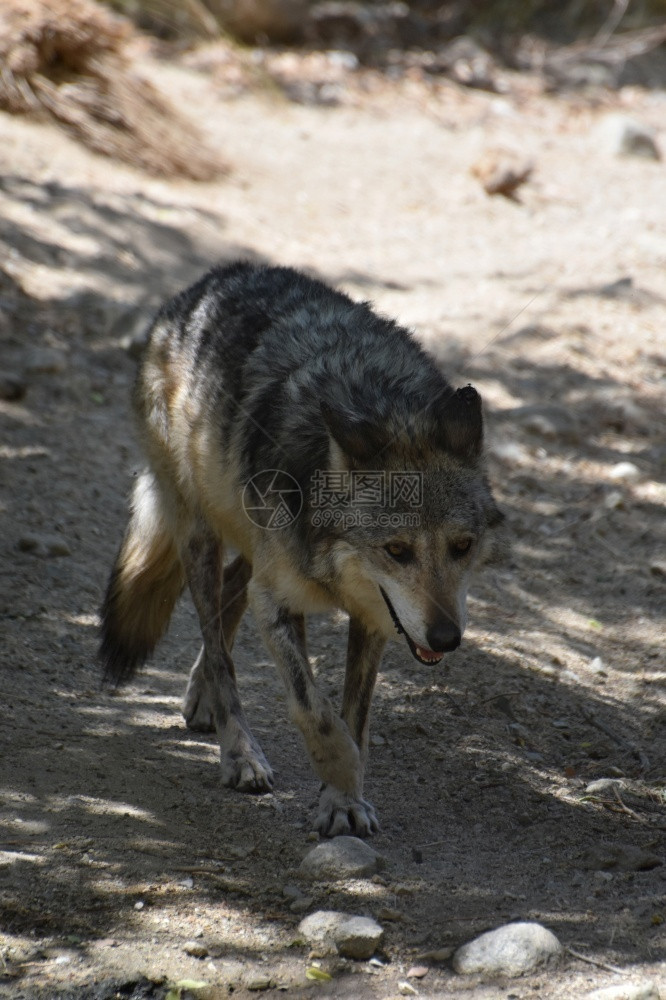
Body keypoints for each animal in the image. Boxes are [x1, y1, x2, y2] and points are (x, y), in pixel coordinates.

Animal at [100, 264, 498, 836]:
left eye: (461, 546)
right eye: (397, 550)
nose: (446, 638)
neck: (382, 402)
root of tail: (209, 280)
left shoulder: (375, 617)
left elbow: (354, 715)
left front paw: (343, 798)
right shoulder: (279, 603)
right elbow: (316, 710)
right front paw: (342, 780)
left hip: (252, 543)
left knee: (230, 599)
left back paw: (201, 697)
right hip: (201, 535)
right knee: (217, 642)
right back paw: (239, 753)